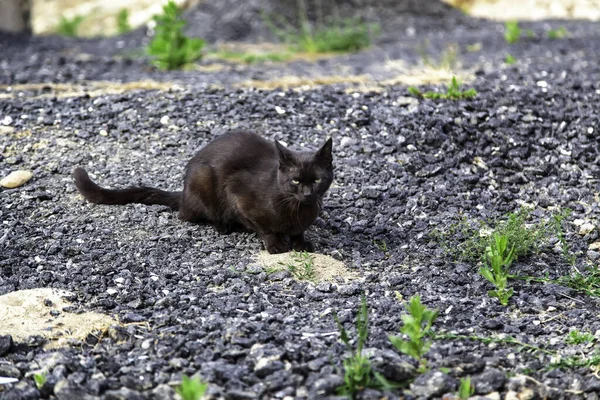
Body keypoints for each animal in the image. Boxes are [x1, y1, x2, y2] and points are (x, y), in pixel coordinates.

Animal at [73, 133, 336, 255]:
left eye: (317, 180)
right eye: (295, 181)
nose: (308, 194)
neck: (297, 208)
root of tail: (183, 193)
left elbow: (299, 230)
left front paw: (300, 242)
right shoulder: (238, 194)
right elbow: (265, 228)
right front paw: (276, 245)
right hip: (203, 180)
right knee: (191, 215)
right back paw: (223, 225)